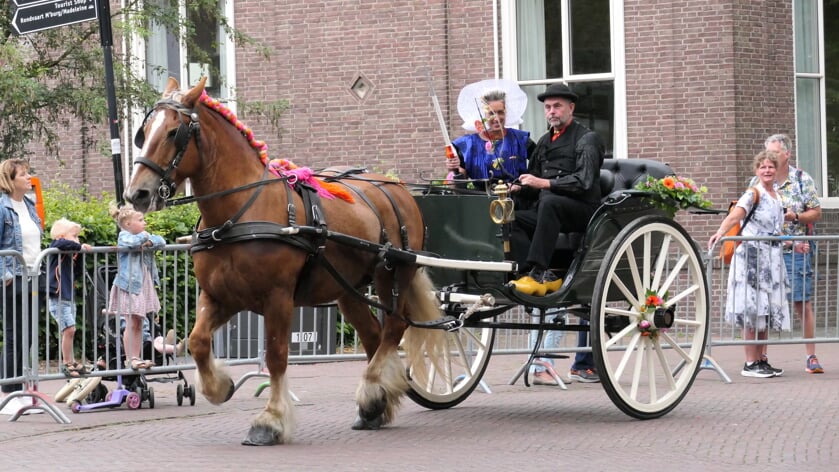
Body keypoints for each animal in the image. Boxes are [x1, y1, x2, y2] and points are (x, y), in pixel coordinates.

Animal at [124, 77, 446, 446]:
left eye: (172, 132)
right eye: (144, 131)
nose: (136, 194)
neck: (239, 212)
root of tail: (396, 186)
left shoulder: (277, 298)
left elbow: (276, 356)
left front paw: (271, 421)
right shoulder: (221, 297)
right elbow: (197, 341)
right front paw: (220, 386)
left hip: (393, 275)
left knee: (394, 329)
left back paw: (371, 391)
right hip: (348, 291)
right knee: (374, 337)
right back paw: (374, 405)